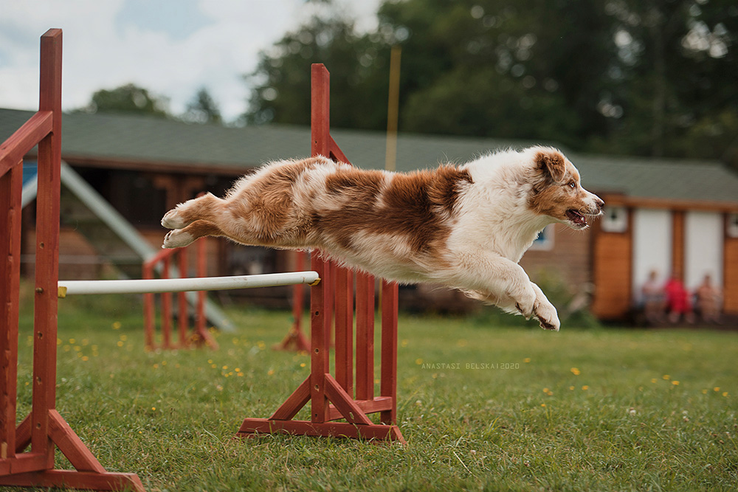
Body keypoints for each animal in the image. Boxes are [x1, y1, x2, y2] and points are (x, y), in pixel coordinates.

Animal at [160, 147, 600, 330]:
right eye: (572, 183)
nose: (598, 204)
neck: (515, 199)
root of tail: (301, 163)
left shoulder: (480, 274)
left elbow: (528, 281)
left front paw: (546, 314)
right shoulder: (458, 253)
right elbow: (518, 274)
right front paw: (529, 303)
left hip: (272, 230)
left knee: (214, 220)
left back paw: (176, 237)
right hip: (264, 223)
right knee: (213, 203)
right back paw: (174, 217)